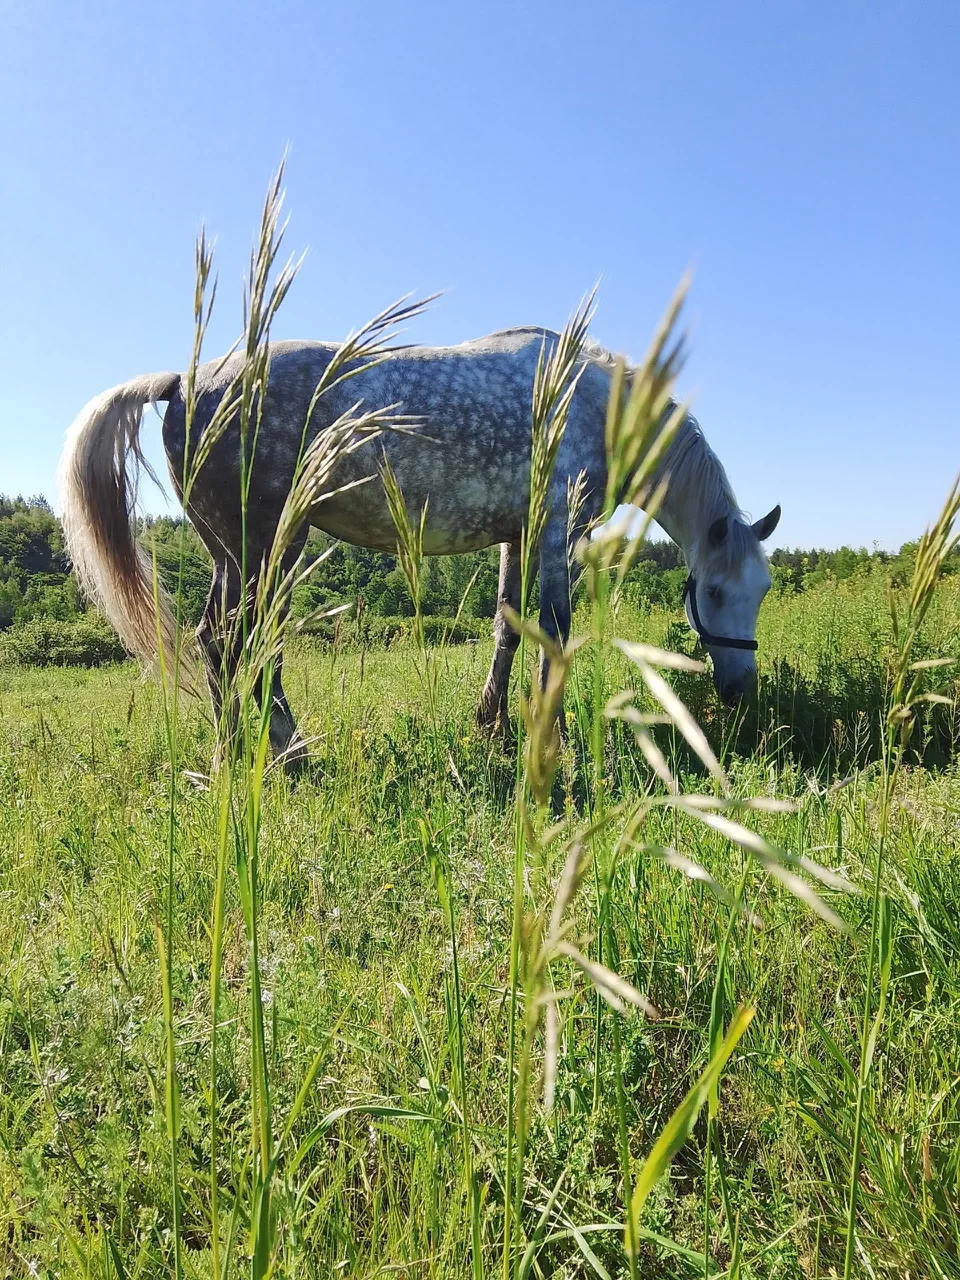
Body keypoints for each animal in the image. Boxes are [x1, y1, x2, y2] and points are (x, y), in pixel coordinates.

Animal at [59, 326, 780, 766]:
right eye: (713, 591)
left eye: (762, 592)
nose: (740, 688)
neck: (591, 400)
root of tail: (182, 382)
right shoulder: (556, 531)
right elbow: (553, 632)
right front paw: (554, 743)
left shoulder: (517, 536)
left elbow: (507, 627)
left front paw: (491, 725)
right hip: (260, 545)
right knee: (231, 639)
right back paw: (271, 752)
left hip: (241, 553)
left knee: (235, 640)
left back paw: (259, 749)